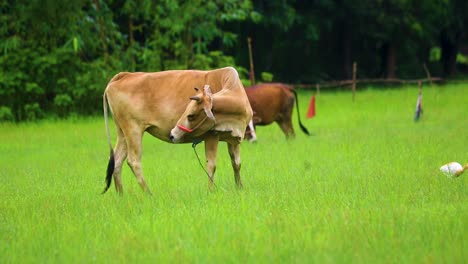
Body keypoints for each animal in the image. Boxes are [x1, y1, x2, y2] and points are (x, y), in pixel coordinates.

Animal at [101, 67, 252, 195]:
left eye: (190, 115)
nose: (172, 134)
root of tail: (125, 75)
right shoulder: (212, 136)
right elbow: (211, 165)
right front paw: (210, 191)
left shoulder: (233, 139)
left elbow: (236, 163)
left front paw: (240, 187)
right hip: (133, 129)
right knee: (133, 161)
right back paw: (149, 194)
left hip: (122, 132)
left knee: (116, 162)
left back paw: (121, 195)